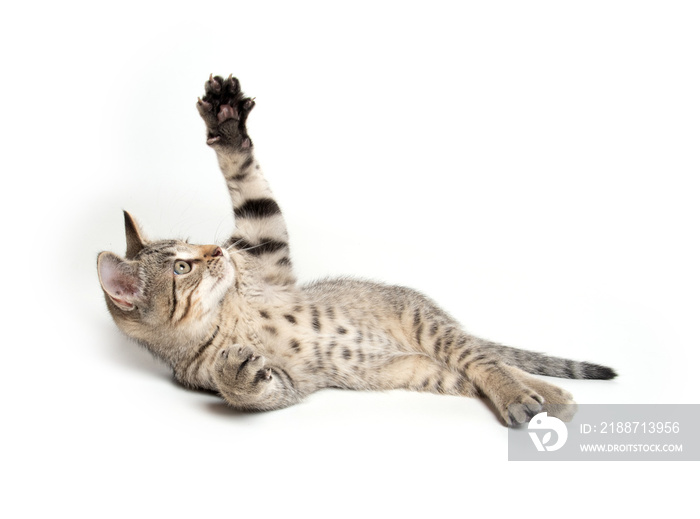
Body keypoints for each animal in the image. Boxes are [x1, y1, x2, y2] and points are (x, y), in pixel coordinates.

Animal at [95, 75, 616, 428]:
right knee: (481, 366)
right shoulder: (285, 380)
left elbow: (251, 188)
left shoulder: (264, 254)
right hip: (429, 370)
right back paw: (549, 397)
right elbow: (256, 391)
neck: (223, 314)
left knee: (487, 360)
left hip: (427, 326)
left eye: (197, 245)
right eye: (183, 267)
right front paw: (237, 373)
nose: (219, 251)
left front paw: (227, 122)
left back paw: (526, 394)